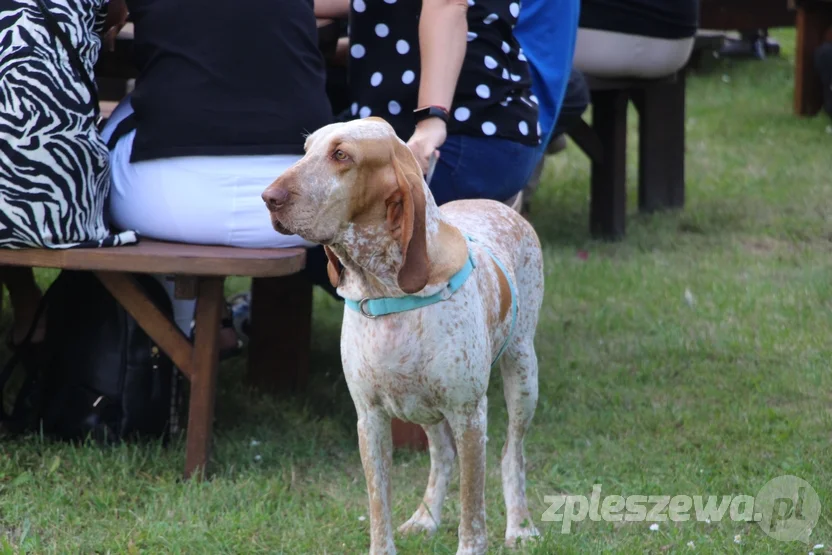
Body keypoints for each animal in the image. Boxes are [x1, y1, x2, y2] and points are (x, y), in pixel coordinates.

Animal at [264, 119, 544, 555]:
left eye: (341, 155)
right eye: (307, 150)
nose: (268, 198)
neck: (385, 290)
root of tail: (504, 208)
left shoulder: (469, 415)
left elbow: (472, 513)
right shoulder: (371, 419)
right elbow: (380, 509)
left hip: (523, 376)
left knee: (512, 452)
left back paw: (520, 526)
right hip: (422, 408)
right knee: (442, 455)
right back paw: (426, 517)